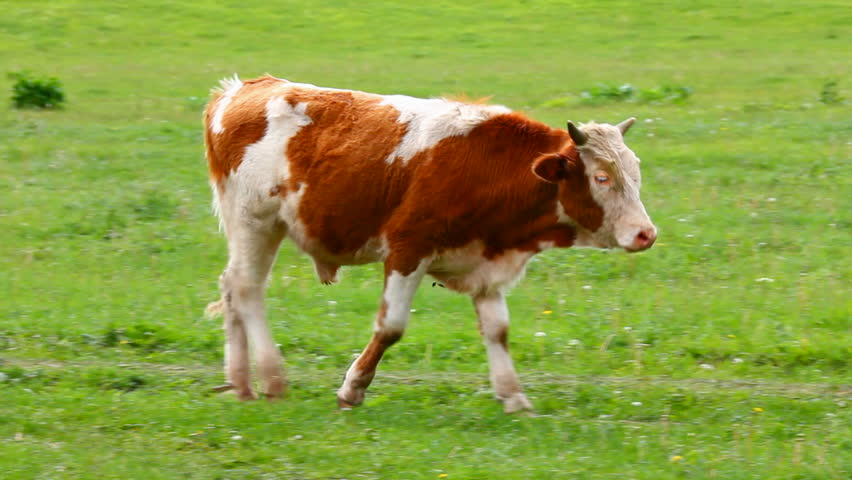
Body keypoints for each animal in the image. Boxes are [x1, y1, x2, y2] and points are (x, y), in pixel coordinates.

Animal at [203, 75, 656, 413]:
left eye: (635, 173)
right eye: (601, 177)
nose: (646, 234)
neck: (493, 167)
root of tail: (241, 90)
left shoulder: (486, 262)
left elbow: (498, 330)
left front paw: (513, 395)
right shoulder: (408, 248)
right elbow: (391, 326)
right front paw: (353, 388)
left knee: (231, 285)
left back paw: (240, 383)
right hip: (255, 221)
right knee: (246, 288)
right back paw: (272, 378)